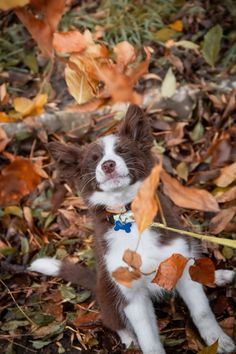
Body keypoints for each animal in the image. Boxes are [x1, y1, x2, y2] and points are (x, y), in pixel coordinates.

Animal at [28, 103, 235, 352]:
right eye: (94, 160)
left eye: (123, 151)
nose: (108, 165)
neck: (131, 216)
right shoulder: (130, 294)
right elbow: (148, 337)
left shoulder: (179, 261)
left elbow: (202, 311)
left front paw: (218, 341)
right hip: (109, 295)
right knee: (114, 321)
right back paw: (128, 339)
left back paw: (217, 276)